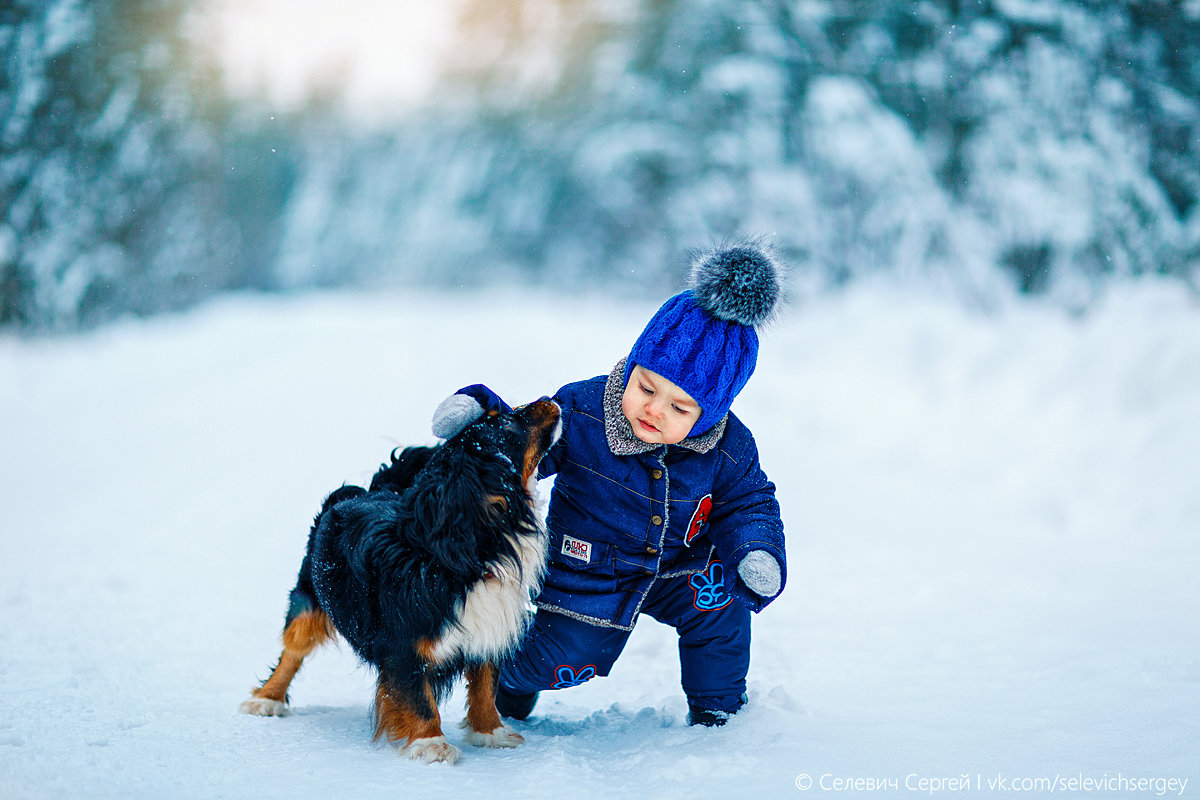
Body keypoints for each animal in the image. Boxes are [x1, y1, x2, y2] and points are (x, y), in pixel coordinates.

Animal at [243, 400, 566, 762]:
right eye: (506, 423)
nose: (548, 398)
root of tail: (368, 491)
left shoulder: (488, 631)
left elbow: (485, 686)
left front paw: (490, 733)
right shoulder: (403, 647)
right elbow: (419, 700)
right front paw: (432, 745)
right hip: (310, 597)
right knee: (293, 650)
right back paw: (266, 699)